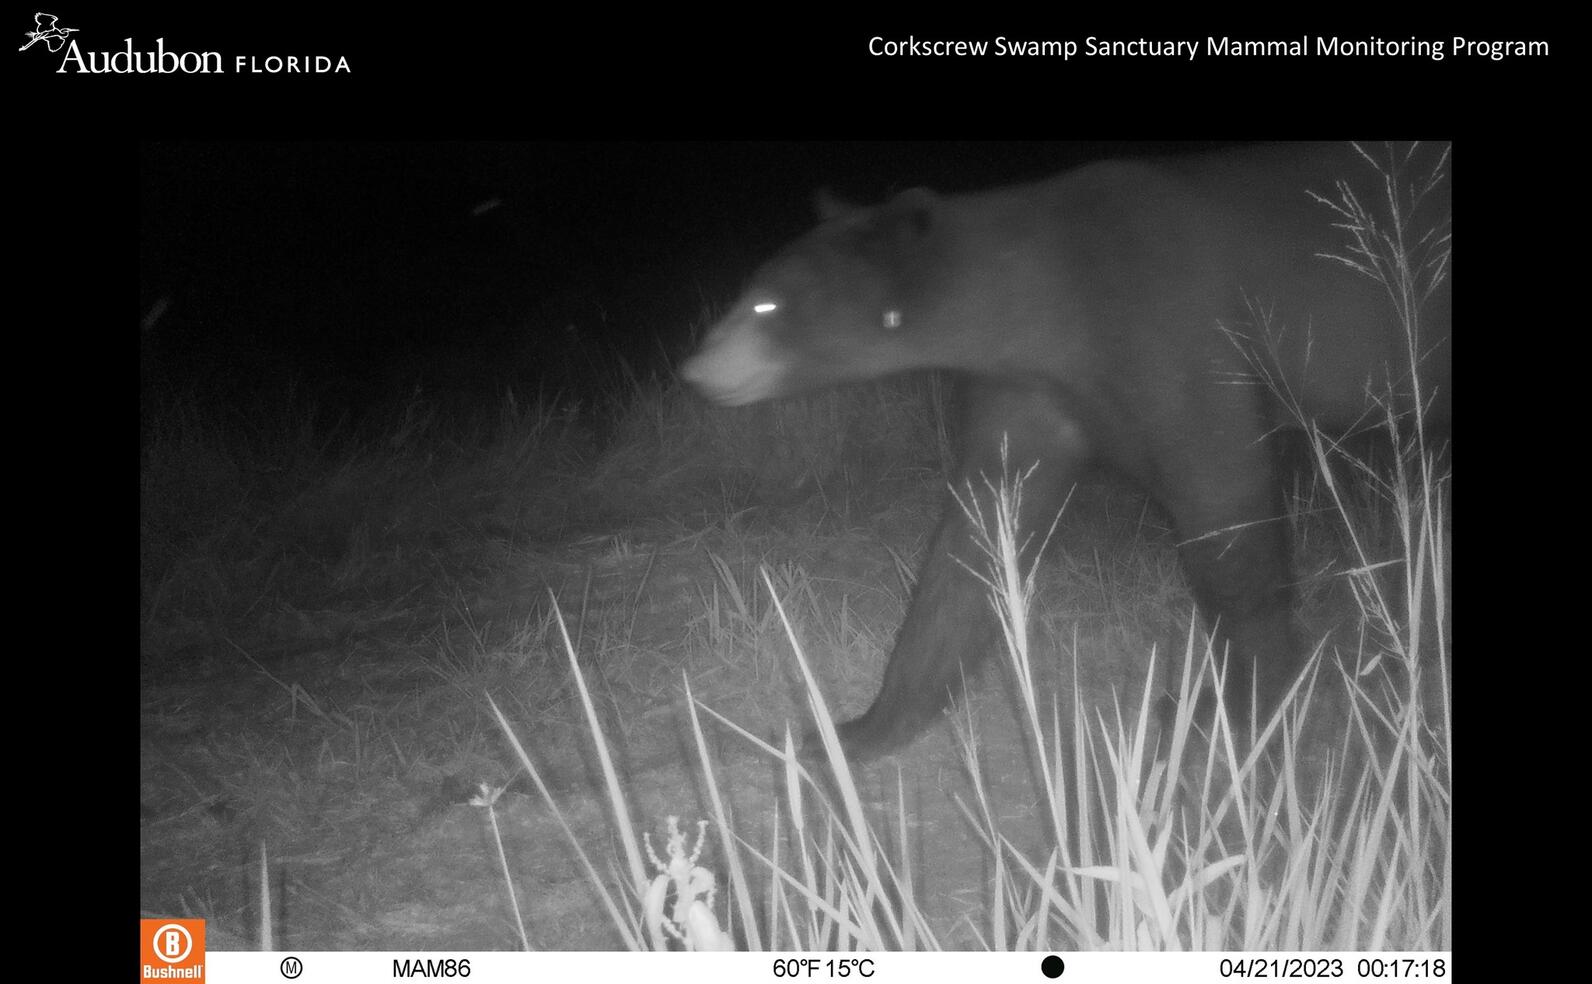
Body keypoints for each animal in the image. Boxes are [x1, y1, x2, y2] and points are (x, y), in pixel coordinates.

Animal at [678, 143, 1451, 757]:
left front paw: (1239, 704)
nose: (693, 370)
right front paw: (852, 731)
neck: (1042, 294)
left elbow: (1225, 517)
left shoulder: (1175, 335)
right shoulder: (1032, 391)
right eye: (749, 293)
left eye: (765, 306)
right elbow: (972, 541)